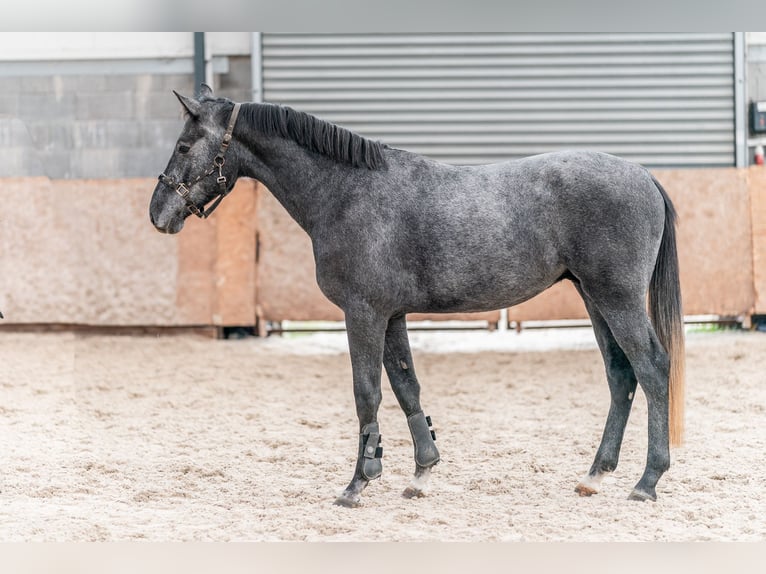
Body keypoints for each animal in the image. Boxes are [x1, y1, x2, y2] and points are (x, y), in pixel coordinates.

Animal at [148, 85, 684, 508]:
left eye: (184, 144)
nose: (157, 213)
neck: (347, 192)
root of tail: (643, 175)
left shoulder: (363, 313)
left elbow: (367, 393)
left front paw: (358, 483)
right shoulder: (393, 315)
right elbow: (407, 387)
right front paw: (422, 472)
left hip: (617, 299)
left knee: (653, 368)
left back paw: (647, 481)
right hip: (595, 299)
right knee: (621, 375)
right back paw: (595, 475)